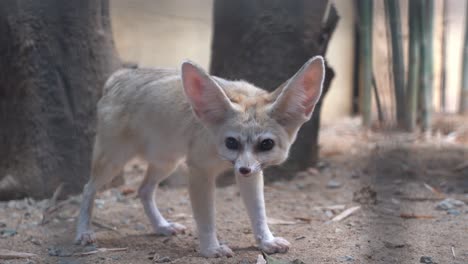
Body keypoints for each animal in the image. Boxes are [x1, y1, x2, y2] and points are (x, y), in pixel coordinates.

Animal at [76, 56, 326, 258]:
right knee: (88, 188)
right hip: (114, 161)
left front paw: (266, 241)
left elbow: (259, 212)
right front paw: (211, 249)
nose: (243, 170)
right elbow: (206, 218)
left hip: (166, 161)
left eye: (266, 144)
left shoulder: (253, 172)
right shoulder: (200, 170)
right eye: (231, 142)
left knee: (144, 190)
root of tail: (120, 76)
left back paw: (162, 226)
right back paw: (84, 232)